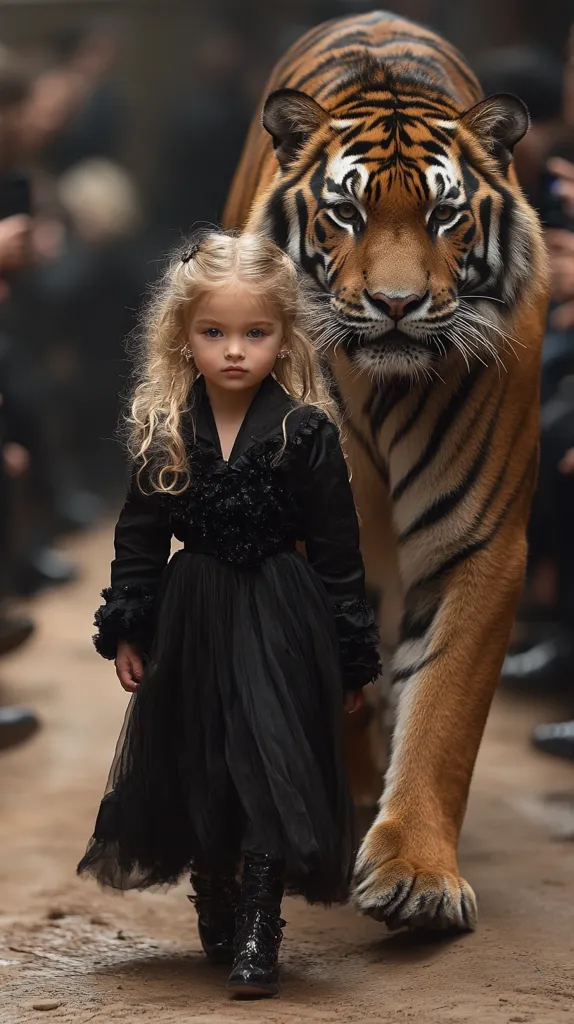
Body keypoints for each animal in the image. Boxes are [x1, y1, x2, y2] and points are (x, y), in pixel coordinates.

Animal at [223, 10, 549, 933]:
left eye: (444, 215)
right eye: (345, 212)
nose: (397, 306)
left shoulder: (481, 546)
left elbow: (441, 713)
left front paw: (416, 874)